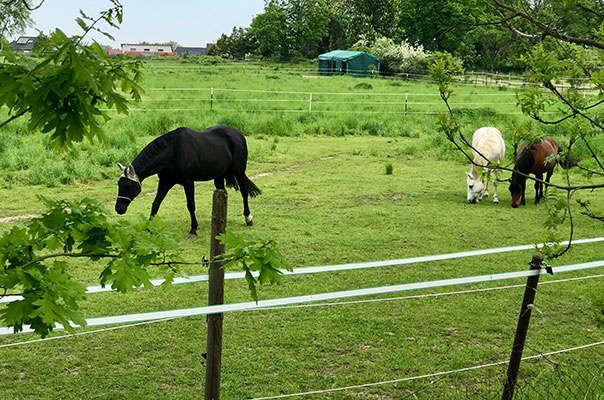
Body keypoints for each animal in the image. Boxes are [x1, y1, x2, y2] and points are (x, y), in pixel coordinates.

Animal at [114, 125, 260, 238]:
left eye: (128, 186)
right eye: (119, 184)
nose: (119, 208)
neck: (172, 152)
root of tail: (238, 134)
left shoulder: (188, 182)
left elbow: (191, 205)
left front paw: (193, 230)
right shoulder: (165, 182)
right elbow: (155, 204)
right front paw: (149, 227)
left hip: (239, 172)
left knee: (244, 192)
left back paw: (248, 218)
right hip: (219, 176)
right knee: (223, 193)